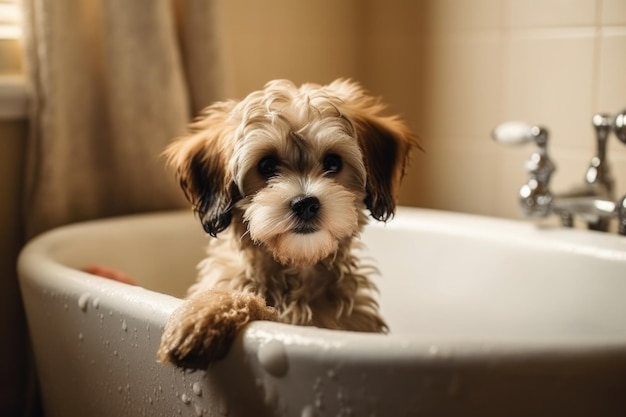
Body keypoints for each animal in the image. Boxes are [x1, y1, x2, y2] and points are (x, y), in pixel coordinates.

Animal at [157, 77, 420, 368]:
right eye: (267, 165)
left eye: (333, 163)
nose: (305, 204)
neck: (297, 271)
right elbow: (249, 299)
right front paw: (204, 312)